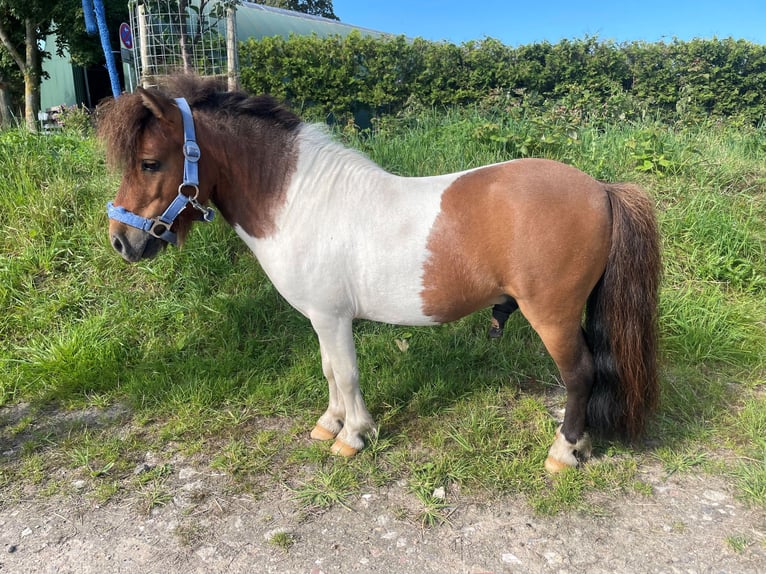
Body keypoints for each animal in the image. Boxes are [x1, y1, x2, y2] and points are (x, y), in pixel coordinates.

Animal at [99, 76, 664, 472]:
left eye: (149, 163)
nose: (121, 241)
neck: (300, 200)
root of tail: (601, 189)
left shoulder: (332, 317)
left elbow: (347, 373)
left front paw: (353, 437)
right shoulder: (321, 319)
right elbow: (329, 370)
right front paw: (329, 424)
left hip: (553, 317)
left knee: (580, 375)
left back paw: (563, 453)